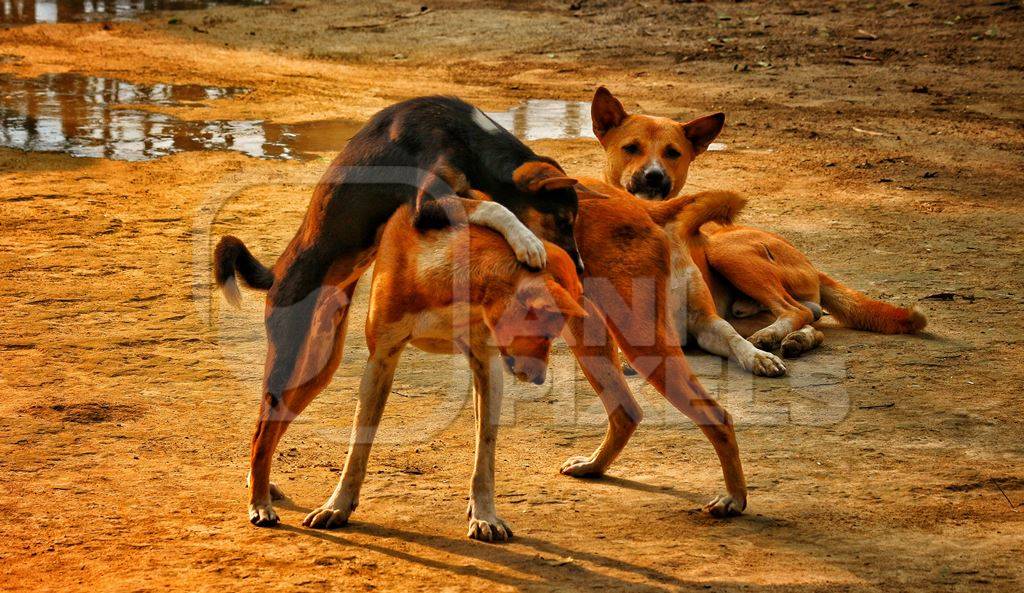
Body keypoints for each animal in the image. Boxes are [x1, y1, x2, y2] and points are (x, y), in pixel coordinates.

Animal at [589, 86, 925, 360]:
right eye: (631, 148)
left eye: (673, 153)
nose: (654, 176)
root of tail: (809, 263)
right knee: (811, 320)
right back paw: (793, 338)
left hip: (728, 251)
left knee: (795, 310)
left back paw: (774, 334)